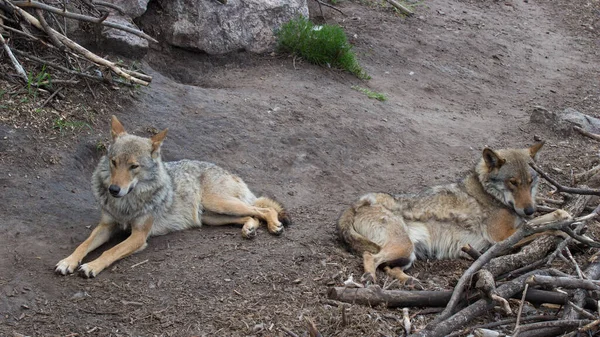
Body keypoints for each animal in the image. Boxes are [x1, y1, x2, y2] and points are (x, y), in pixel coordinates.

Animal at [56, 114, 290, 276]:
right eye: (114, 162)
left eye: (134, 166)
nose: (114, 190)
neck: (126, 203)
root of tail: (230, 172)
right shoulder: (106, 226)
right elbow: (83, 245)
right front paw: (68, 261)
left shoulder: (139, 236)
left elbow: (110, 252)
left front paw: (91, 266)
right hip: (211, 217)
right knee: (252, 216)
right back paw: (249, 229)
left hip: (220, 204)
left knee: (263, 209)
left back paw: (274, 226)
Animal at [338, 142, 572, 284]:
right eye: (513, 182)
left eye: (531, 181)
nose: (529, 209)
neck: (490, 194)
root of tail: (356, 204)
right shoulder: (502, 238)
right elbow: (539, 229)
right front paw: (561, 229)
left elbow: (538, 221)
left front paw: (563, 215)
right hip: (403, 247)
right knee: (370, 257)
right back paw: (370, 278)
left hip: (408, 254)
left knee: (388, 268)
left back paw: (411, 282)